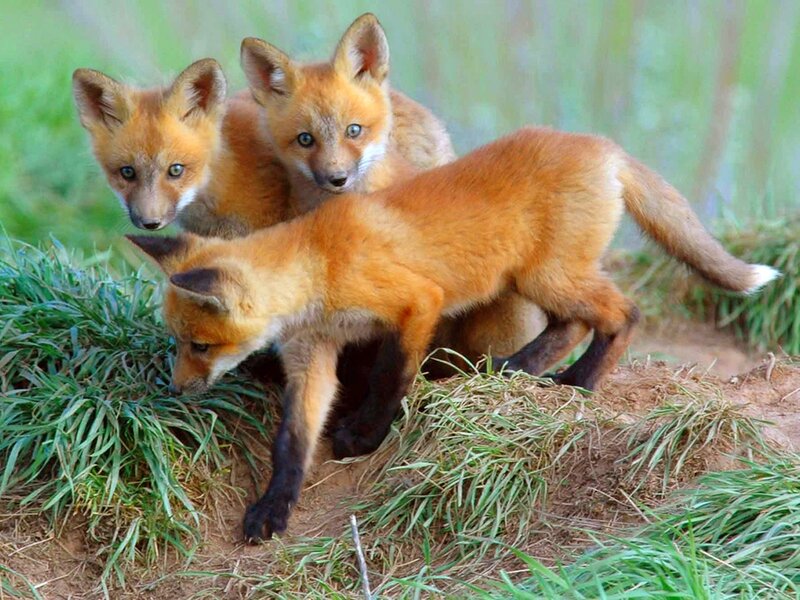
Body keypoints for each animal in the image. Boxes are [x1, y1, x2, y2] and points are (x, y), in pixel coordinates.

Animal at [128, 126, 779, 541]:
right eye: (180, 342)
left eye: (200, 345)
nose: (174, 389)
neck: (320, 264)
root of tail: (604, 146)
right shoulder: (312, 356)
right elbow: (290, 443)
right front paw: (273, 508)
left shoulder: (418, 303)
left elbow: (390, 377)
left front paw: (365, 435)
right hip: (536, 278)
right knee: (572, 323)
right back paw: (519, 370)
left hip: (548, 275)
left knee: (623, 314)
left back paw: (581, 383)